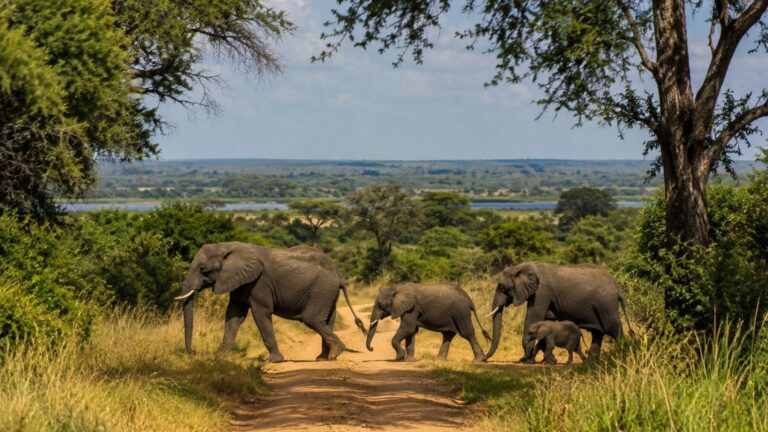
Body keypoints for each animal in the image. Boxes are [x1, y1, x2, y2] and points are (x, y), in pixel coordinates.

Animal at [175, 242, 366, 362]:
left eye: (203, 269)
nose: (193, 353)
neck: (227, 247)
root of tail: (339, 274)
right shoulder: (240, 282)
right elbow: (234, 315)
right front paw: (221, 358)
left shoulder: (259, 283)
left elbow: (261, 314)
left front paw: (272, 361)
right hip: (328, 293)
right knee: (326, 321)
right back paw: (323, 358)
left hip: (322, 290)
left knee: (312, 319)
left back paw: (335, 353)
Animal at [484, 262, 632, 363]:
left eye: (501, 287)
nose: (484, 359)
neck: (522, 266)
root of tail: (618, 287)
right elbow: (546, 323)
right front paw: (544, 360)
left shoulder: (541, 293)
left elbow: (533, 317)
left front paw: (525, 360)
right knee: (598, 333)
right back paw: (591, 363)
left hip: (606, 304)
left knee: (612, 328)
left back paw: (623, 355)